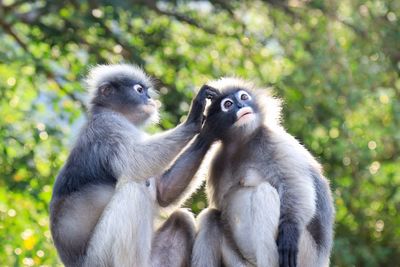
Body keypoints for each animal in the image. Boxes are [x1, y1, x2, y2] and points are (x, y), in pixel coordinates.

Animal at [49, 65, 219, 267]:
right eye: (139, 90)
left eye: (146, 90)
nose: (149, 98)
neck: (115, 113)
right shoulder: (109, 127)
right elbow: (138, 161)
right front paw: (194, 117)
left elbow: (163, 193)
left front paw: (211, 130)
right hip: (99, 258)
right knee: (134, 189)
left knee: (181, 218)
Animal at [166, 77, 334, 267]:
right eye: (228, 104)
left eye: (244, 97)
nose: (240, 105)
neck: (244, 141)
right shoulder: (219, 159)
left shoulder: (274, 141)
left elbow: (296, 187)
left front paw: (290, 231)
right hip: (240, 262)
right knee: (211, 217)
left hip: (306, 255)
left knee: (264, 192)